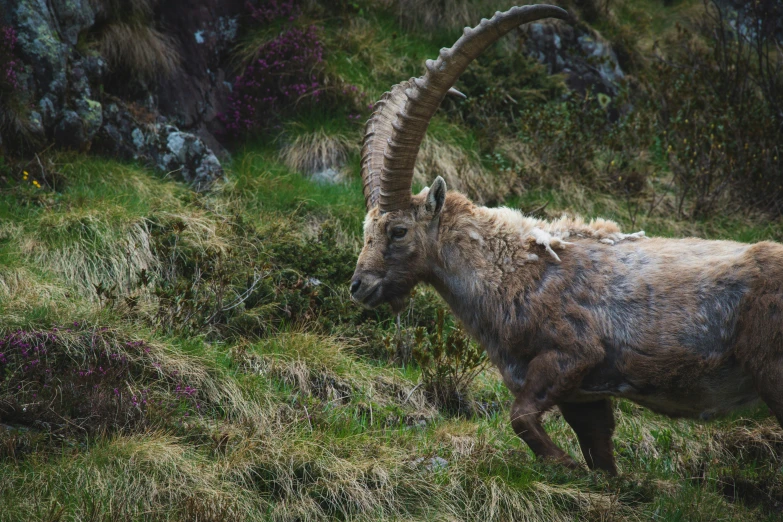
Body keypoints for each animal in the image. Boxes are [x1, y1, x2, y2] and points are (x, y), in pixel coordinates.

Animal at [350, 5, 783, 476]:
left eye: (398, 230)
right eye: (365, 229)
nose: (358, 286)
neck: (511, 269)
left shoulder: (572, 355)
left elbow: (521, 417)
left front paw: (564, 465)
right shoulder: (583, 397)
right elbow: (599, 455)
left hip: (773, 370)